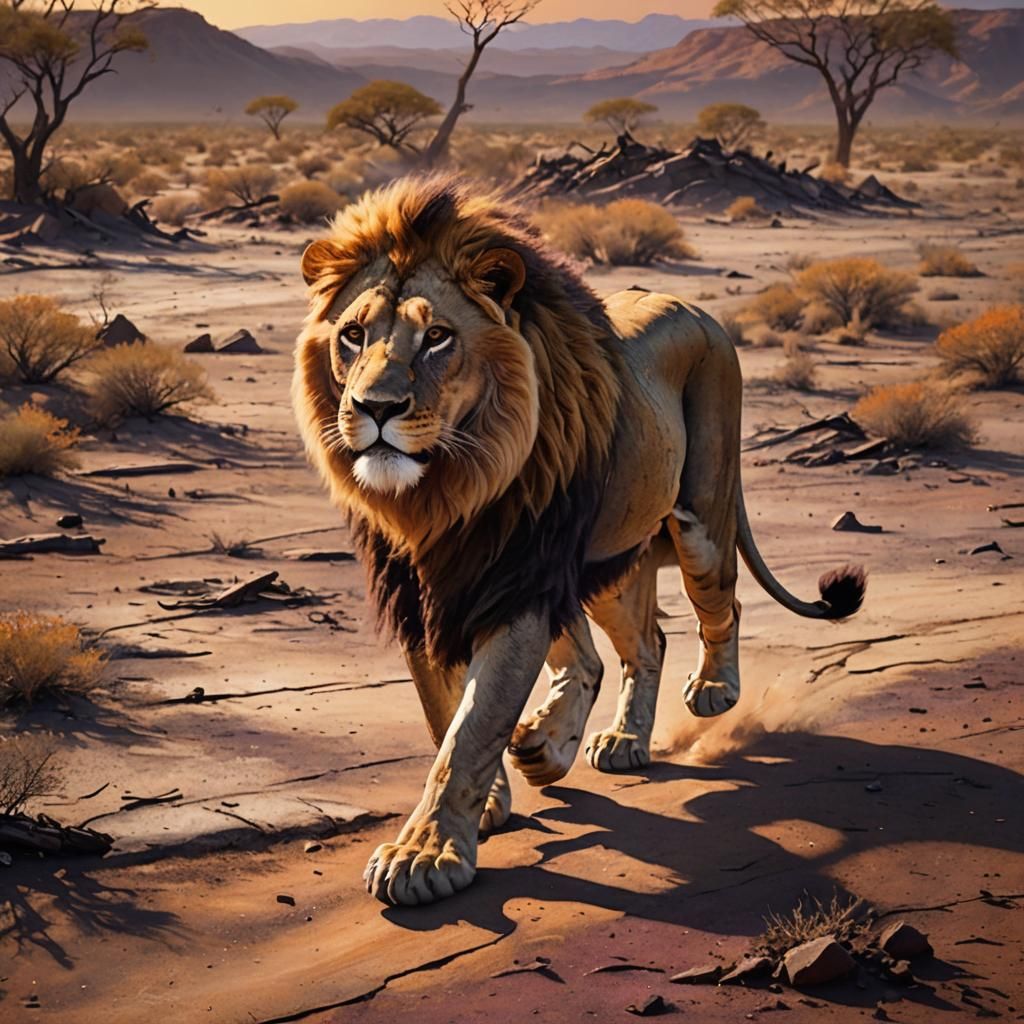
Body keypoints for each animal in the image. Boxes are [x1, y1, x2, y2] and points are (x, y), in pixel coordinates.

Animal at [293, 176, 865, 907]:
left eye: (437, 338)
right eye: (353, 335)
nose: (376, 408)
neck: (444, 493)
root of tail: (697, 309)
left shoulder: (520, 577)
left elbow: (472, 730)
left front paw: (423, 855)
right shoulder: (428, 594)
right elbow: (446, 715)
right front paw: (487, 804)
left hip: (699, 519)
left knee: (719, 607)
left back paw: (707, 691)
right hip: (609, 557)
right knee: (640, 646)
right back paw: (593, 741)